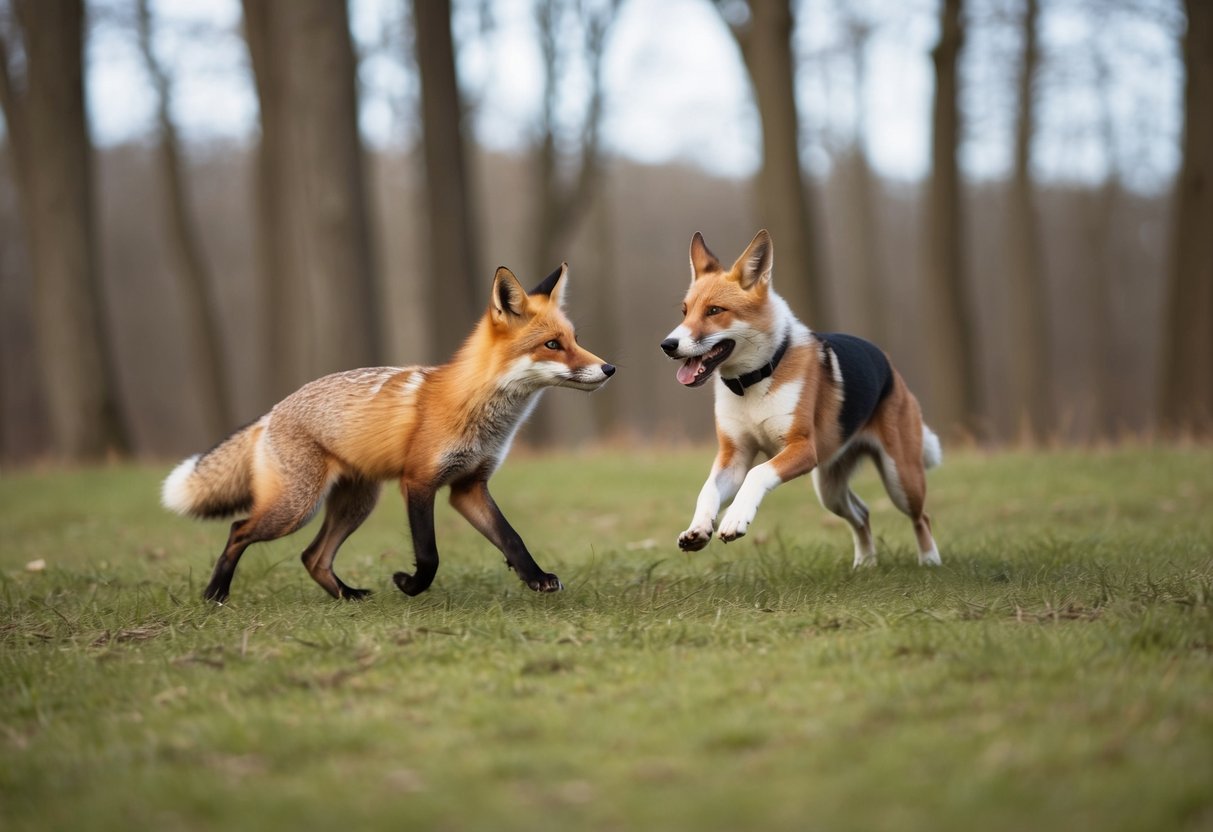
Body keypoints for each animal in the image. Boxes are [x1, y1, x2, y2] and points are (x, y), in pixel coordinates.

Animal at [162, 263, 615, 603]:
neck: (479, 413)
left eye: (575, 339)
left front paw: (535, 577)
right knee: (239, 530)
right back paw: (216, 594)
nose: (609, 368)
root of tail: (271, 412)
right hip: (296, 508)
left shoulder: (468, 486)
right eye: (552, 345)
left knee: (312, 556)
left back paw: (346, 596)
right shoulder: (418, 481)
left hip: (356, 504)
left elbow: (512, 538)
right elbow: (429, 554)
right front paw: (410, 586)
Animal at [660, 229, 942, 568]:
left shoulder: (801, 449)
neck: (755, 380)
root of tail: (891, 368)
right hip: (830, 487)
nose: (667, 345)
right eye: (685, 311)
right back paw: (865, 564)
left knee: (921, 517)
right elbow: (708, 491)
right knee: (862, 514)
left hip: (901, 478)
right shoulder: (733, 457)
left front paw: (735, 518)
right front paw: (698, 528)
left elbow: (757, 474)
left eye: (715, 310)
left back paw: (929, 561)